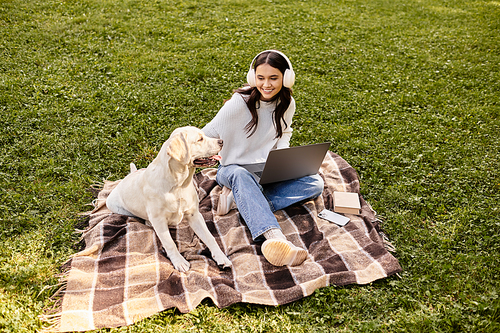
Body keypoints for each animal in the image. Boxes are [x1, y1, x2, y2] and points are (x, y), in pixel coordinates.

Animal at [107, 126, 232, 272]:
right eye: (200, 139)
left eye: (204, 135)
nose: (222, 141)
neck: (178, 184)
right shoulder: (159, 220)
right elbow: (170, 243)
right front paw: (179, 262)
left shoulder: (194, 214)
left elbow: (210, 237)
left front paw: (221, 257)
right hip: (116, 207)